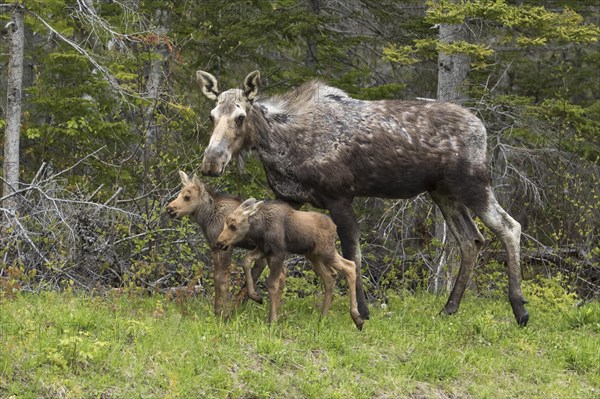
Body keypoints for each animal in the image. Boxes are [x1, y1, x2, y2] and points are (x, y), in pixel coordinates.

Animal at [166, 172, 264, 318]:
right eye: (178, 194)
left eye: (187, 197)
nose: (169, 209)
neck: (207, 218)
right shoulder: (214, 246)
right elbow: (216, 279)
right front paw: (217, 312)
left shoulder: (226, 246)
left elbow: (223, 280)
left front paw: (223, 315)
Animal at [217, 198, 364, 332]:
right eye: (225, 223)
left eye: (233, 226)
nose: (220, 242)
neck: (259, 230)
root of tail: (334, 226)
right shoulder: (264, 250)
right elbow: (246, 260)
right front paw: (256, 297)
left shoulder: (278, 253)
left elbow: (272, 284)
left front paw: (272, 320)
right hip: (314, 255)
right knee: (330, 277)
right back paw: (323, 318)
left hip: (326, 251)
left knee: (350, 266)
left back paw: (357, 318)